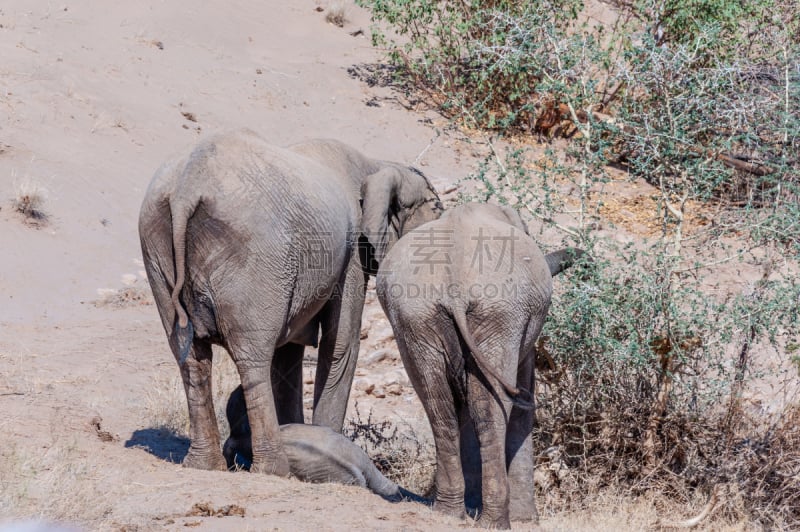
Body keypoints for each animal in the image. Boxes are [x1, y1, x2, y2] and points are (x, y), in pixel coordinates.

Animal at [141, 129, 444, 474]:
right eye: (437, 209)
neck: (379, 164)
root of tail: (186, 188)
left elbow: (291, 350)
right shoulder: (351, 254)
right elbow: (341, 345)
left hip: (155, 243)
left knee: (191, 357)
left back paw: (204, 466)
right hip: (254, 255)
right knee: (253, 358)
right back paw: (273, 469)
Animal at [378, 203, 584, 528]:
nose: (583, 256)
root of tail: (454, 283)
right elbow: (522, 402)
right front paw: (527, 521)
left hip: (415, 318)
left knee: (440, 408)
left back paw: (449, 514)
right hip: (498, 313)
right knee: (492, 411)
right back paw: (496, 523)